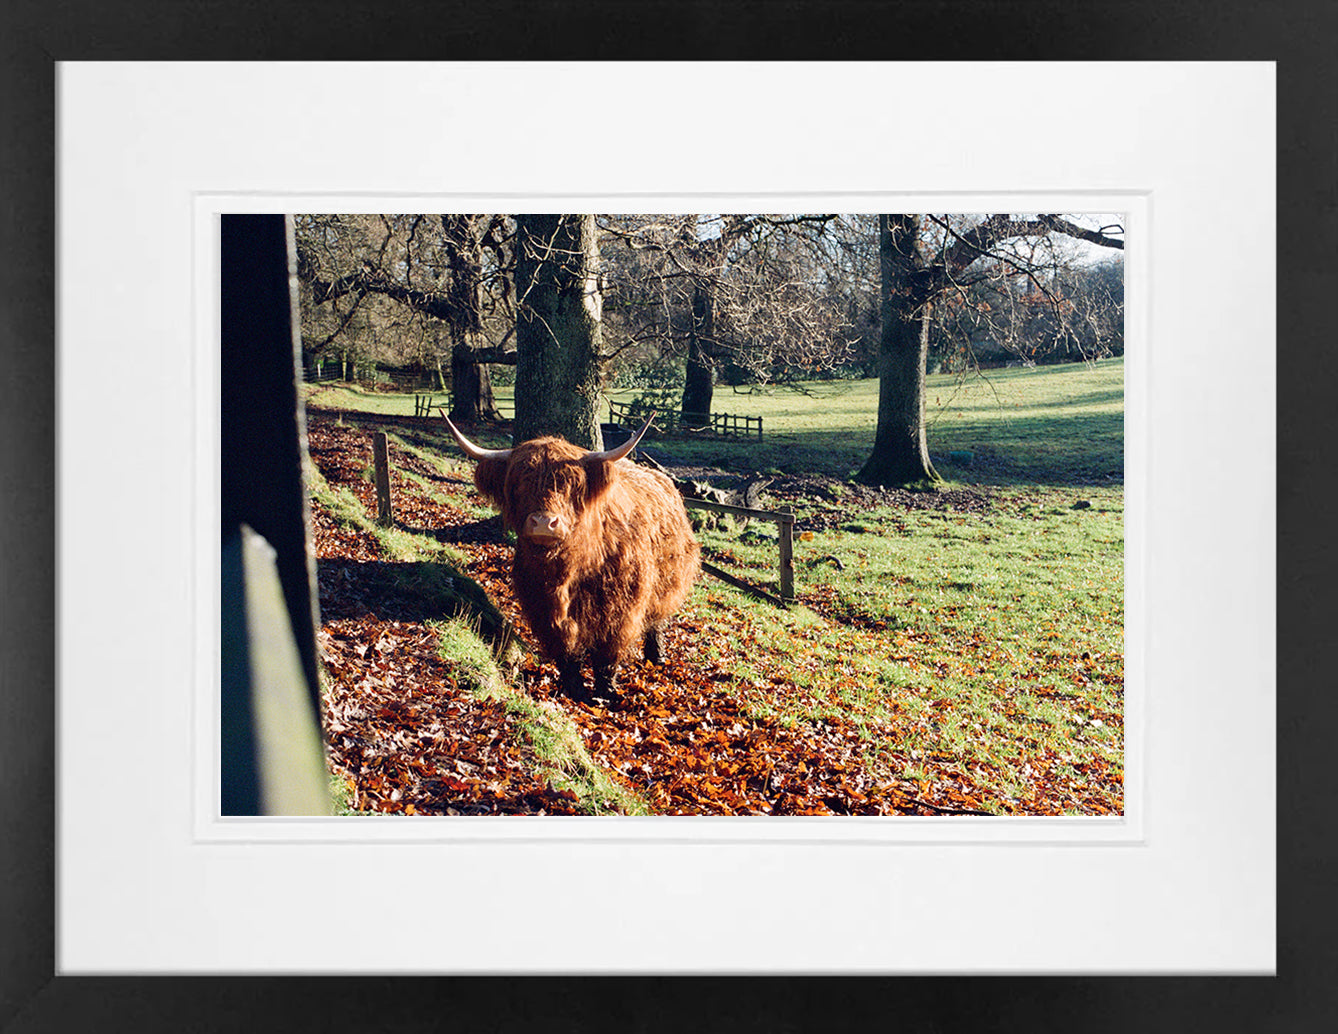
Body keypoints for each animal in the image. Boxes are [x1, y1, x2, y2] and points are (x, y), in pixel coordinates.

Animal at [443, 413, 700, 703]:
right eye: (519, 483)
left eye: (572, 485)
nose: (544, 523)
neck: (568, 571)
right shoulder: (542, 605)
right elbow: (565, 647)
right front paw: (573, 688)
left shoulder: (621, 607)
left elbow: (607, 652)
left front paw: (605, 692)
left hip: (666, 585)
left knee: (657, 621)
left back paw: (657, 656)